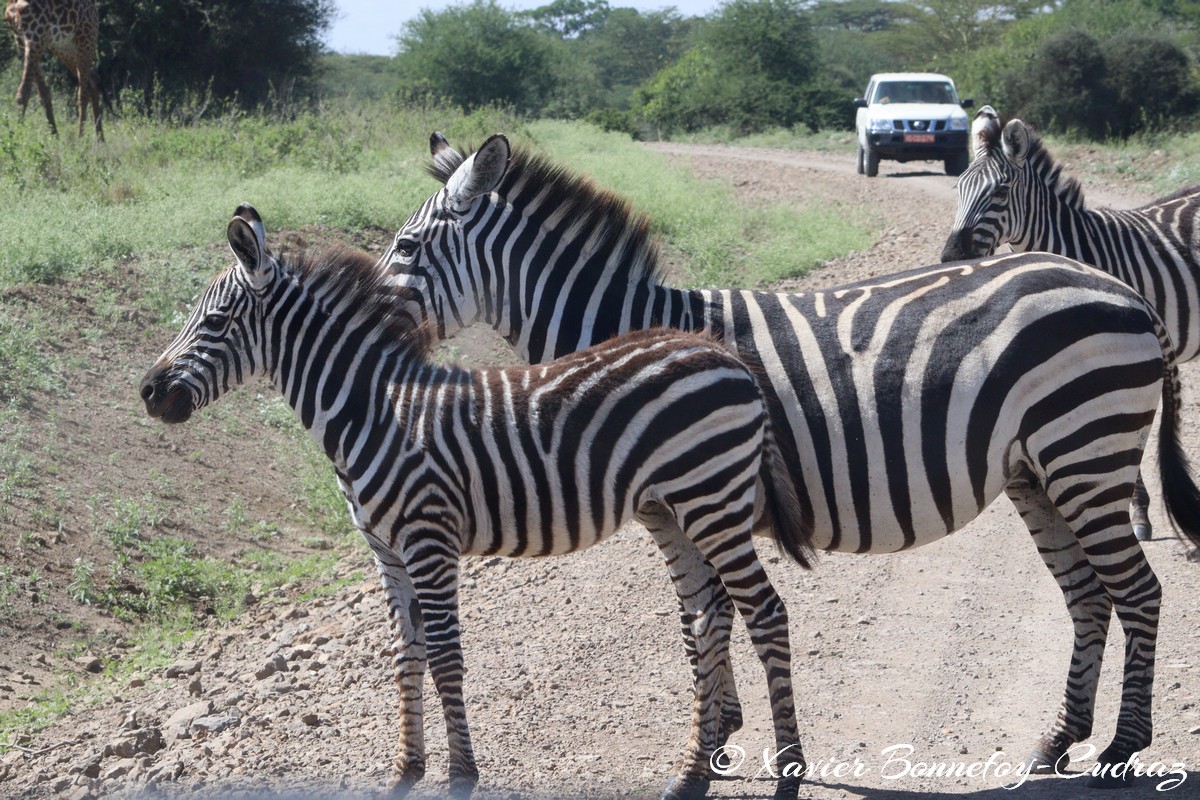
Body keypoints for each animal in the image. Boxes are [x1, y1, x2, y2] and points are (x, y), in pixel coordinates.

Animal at [140, 203, 816, 800]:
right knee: (707, 619)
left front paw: (460, 774)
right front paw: (405, 770)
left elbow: (445, 657)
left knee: (766, 613)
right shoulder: (386, 554)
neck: (374, 412)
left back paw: (788, 775)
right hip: (676, 509)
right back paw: (693, 775)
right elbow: (406, 654)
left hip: (713, 501)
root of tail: (721, 351)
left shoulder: (428, 540)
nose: (148, 391)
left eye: (214, 323)